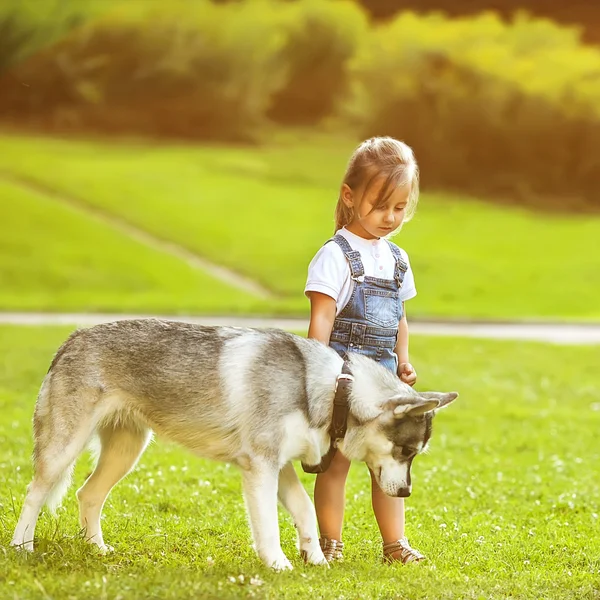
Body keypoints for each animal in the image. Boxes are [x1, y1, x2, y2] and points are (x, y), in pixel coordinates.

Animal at [11, 318, 454, 568]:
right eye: (406, 452)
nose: (407, 492)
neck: (333, 391)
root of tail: (73, 337)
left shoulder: (282, 467)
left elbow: (305, 510)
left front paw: (314, 558)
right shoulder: (260, 468)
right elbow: (269, 526)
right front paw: (278, 564)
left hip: (126, 452)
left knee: (87, 495)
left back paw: (97, 551)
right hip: (64, 450)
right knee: (34, 493)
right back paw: (21, 547)